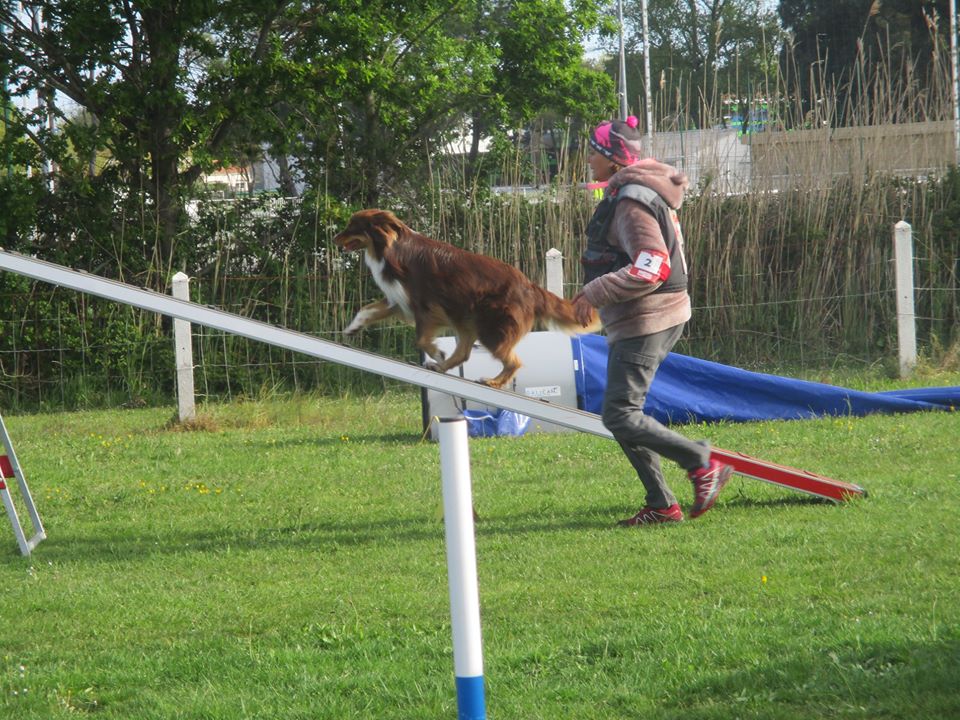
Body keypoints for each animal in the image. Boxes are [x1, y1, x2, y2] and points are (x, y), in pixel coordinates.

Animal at [334, 208, 596, 388]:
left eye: (352, 226)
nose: (334, 239)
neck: (390, 248)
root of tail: (531, 287)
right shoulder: (399, 299)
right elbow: (367, 310)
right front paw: (352, 328)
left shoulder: (425, 306)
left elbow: (421, 339)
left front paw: (436, 351)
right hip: (467, 319)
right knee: (464, 352)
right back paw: (441, 366)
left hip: (489, 327)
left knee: (512, 361)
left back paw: (491, 381)